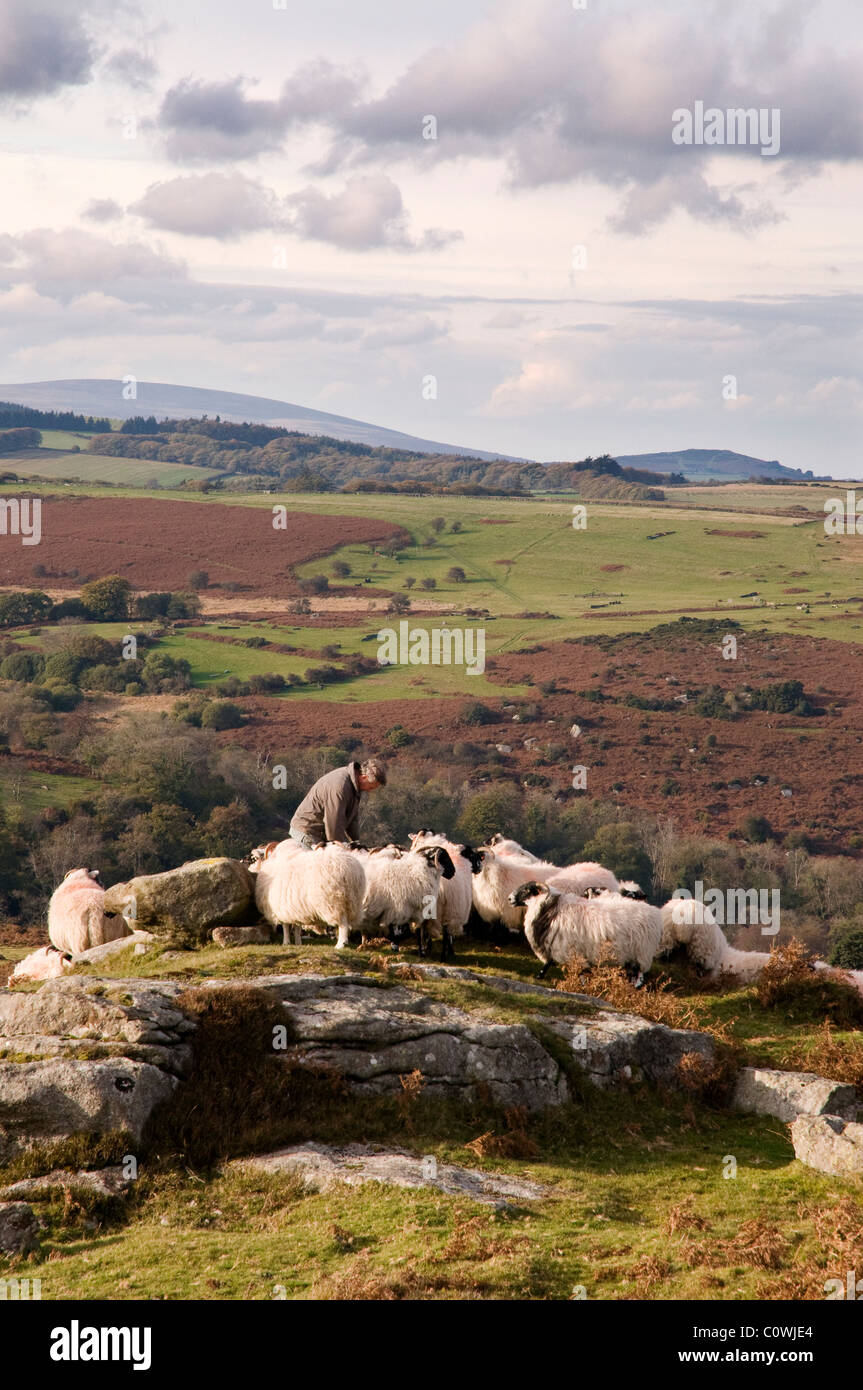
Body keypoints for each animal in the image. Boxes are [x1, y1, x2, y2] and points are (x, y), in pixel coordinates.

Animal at [505, 884, 658, 984]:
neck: (549, 909)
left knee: (639, 977)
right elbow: (550, 962)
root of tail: (652, 913)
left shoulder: (565, 947)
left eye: (526, 889)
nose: (509, 898)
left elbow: (572, 968)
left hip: (640, 954)